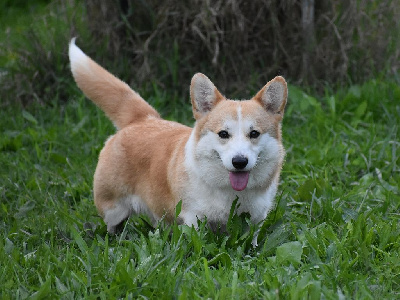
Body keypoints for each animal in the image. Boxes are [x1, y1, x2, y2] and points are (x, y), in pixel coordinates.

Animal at [69, 38, 288, 233]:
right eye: (223, 134)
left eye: (254, 133)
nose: (239, 162)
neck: (230, 191)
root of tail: (142, 119)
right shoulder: (193, 217)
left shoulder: (256, 220)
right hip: (112, 209)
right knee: (112, 227)